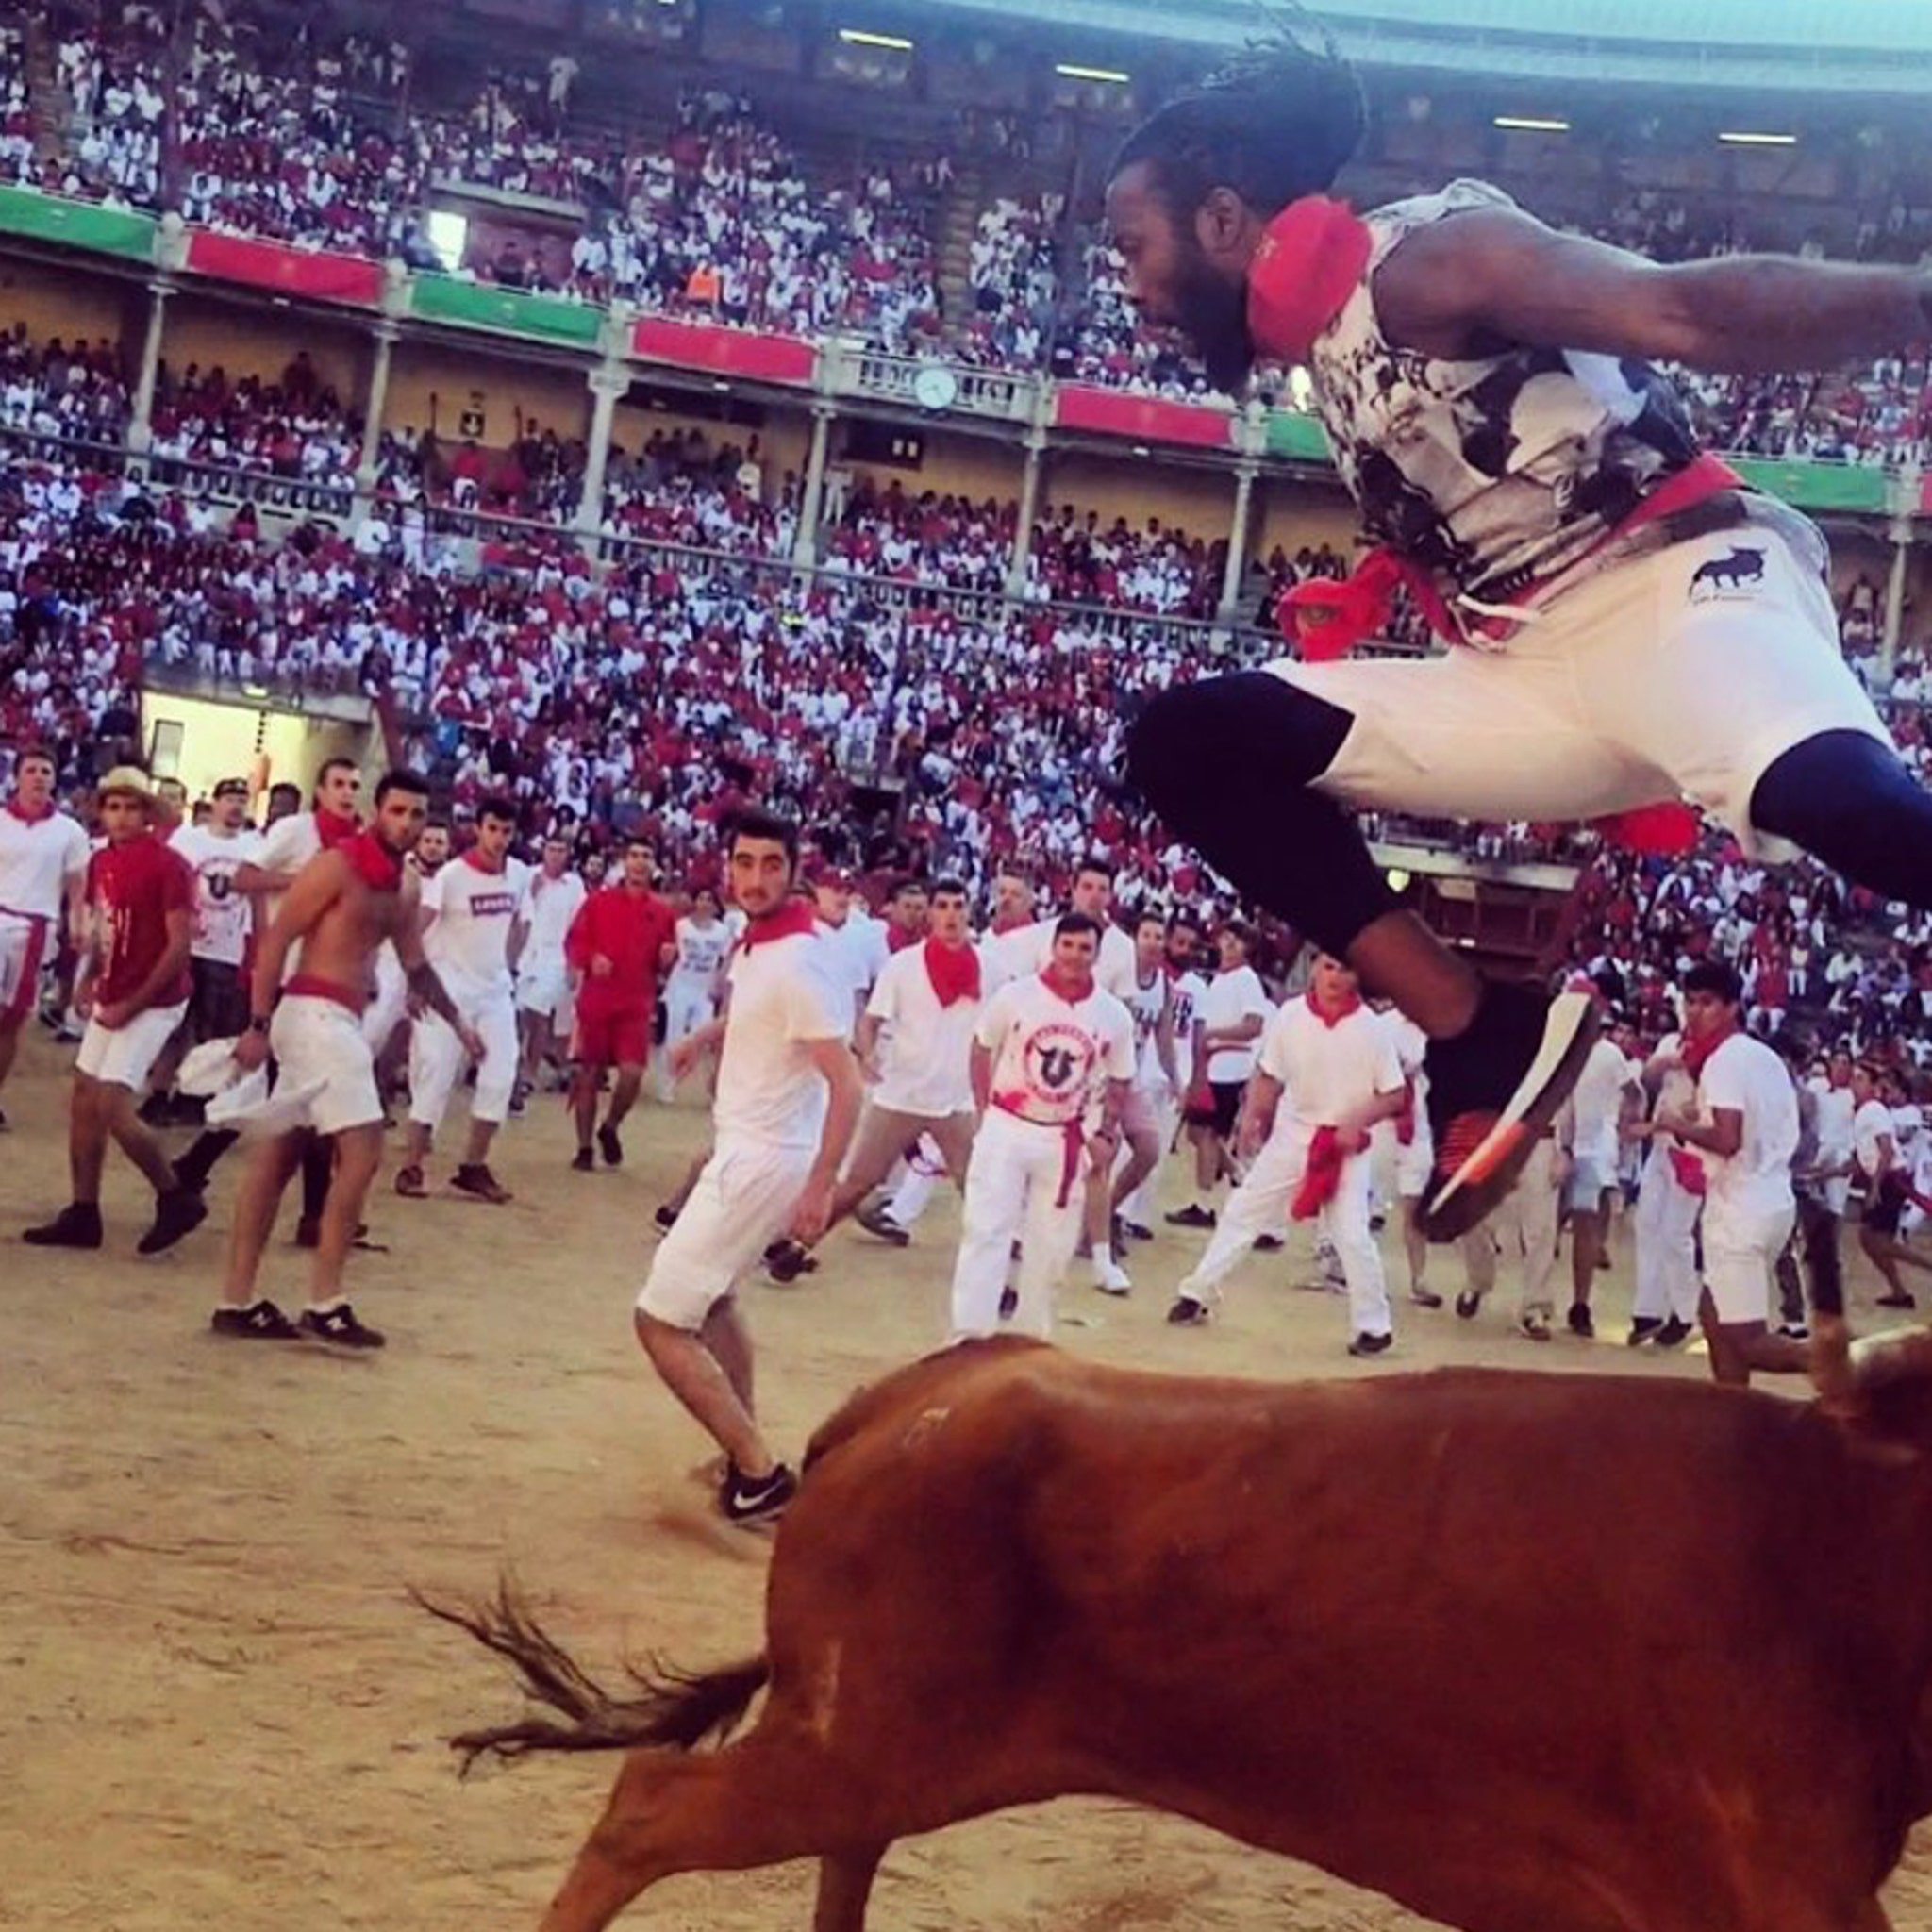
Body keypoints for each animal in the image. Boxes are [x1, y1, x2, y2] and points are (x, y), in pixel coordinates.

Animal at [430, 1337, 1932, 1932]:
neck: (1832, 1533)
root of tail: (906, 1400)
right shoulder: (1778, 1890)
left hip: (878, 1743)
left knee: (835, 1843)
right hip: (848, 1740)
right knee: (647, 1804)